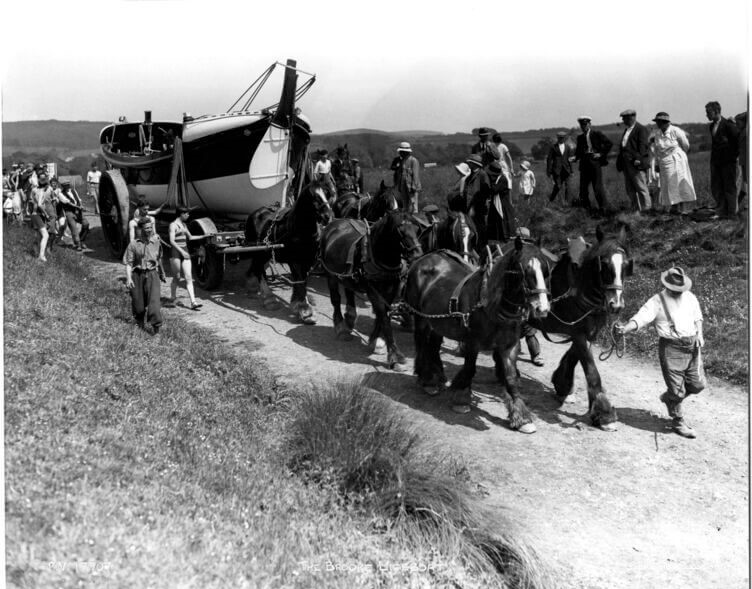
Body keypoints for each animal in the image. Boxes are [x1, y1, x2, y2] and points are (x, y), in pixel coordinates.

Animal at [244, 181, 332, 324]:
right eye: (314, 197)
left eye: (326, 195)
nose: (328, 217)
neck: (300, 232)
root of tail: (255, 213)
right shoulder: (295, 261)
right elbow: (300, 281)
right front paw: (304, 310)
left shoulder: (307, 261)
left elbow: (302, 282)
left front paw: (301, 304)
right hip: (258, 251)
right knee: (259, 270)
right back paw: (268, 298)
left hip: (264, 253)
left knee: (257, 267)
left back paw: (253, 287)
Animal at [318, 209, 424, 370]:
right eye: (399, 229)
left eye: (417, 229)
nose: (417, 254)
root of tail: (335, 223)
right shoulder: (373, 292)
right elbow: (385, 320)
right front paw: (395, 355)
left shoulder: (390, 292)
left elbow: (382, 316)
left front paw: (375, 340)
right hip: (330, 274)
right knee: (336, 299)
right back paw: (341, 327)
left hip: (347, 275)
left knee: (349, 291)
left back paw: (350, 318)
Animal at [406, 237, 552, 430]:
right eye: (525, 270)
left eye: (545, 271)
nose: (542, 309)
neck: (491, 305)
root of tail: (425, 258)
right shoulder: (472, 342)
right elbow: (470, 368)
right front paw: (461, 398)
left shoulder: (509, 345)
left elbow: (511, 377)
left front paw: (521, 416)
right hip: (421, 318)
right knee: (422, 343)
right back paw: (427, 379)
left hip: (437, 322)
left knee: (434, 346)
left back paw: (437, 376)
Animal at [524, 225, 632, 432]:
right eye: (604, 264)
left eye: (626, 265)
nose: (616, 305)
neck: (580, 288)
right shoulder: (578, 332)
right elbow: (591, 370)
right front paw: (604, 414)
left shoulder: (589, 332)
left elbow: (574, 356)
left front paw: (562, 385)